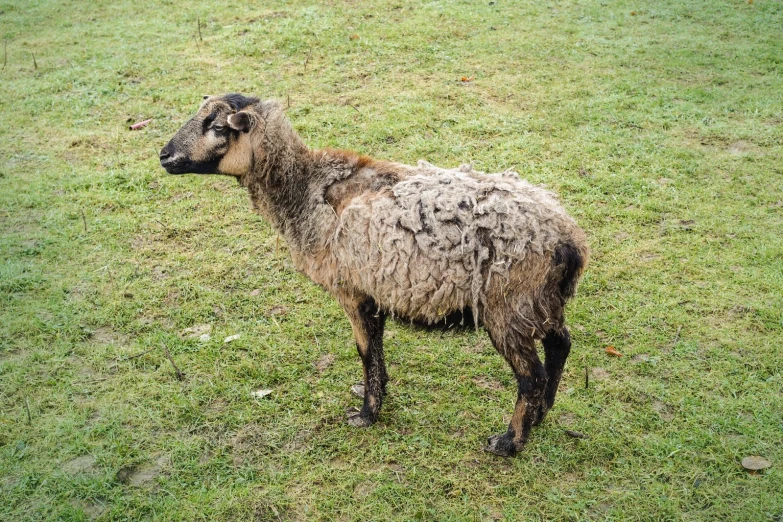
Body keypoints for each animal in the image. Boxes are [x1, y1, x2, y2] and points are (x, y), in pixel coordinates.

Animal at [159, 93, 588, 456]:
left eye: (217, 126)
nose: (164, 155)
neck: (303, 189)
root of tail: (568, 239)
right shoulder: (374, 292)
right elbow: (377, 350)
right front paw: (378, 396)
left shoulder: (352, 291)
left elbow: (365, 352)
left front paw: (366, 414)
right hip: (540, 301)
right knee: (560, 344)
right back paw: (542, 413)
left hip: (508, 305)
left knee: (530, 376)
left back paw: (510, 441)